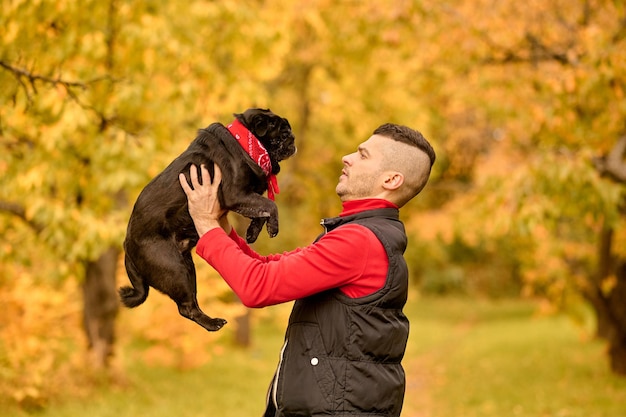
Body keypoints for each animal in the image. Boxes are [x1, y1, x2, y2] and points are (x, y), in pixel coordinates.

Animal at [119, 109, 294, 330]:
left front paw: (252, 232)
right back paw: (213, 324)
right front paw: (273, 227)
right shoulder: (236, 194)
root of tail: (127, 246)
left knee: (189, 306)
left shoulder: (246, 197)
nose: (292, 137)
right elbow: (270, 205)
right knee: (187, 308)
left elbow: (260, 211)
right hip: (175, 269)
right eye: (282, 132)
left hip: (187, 267)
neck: (247, 143)